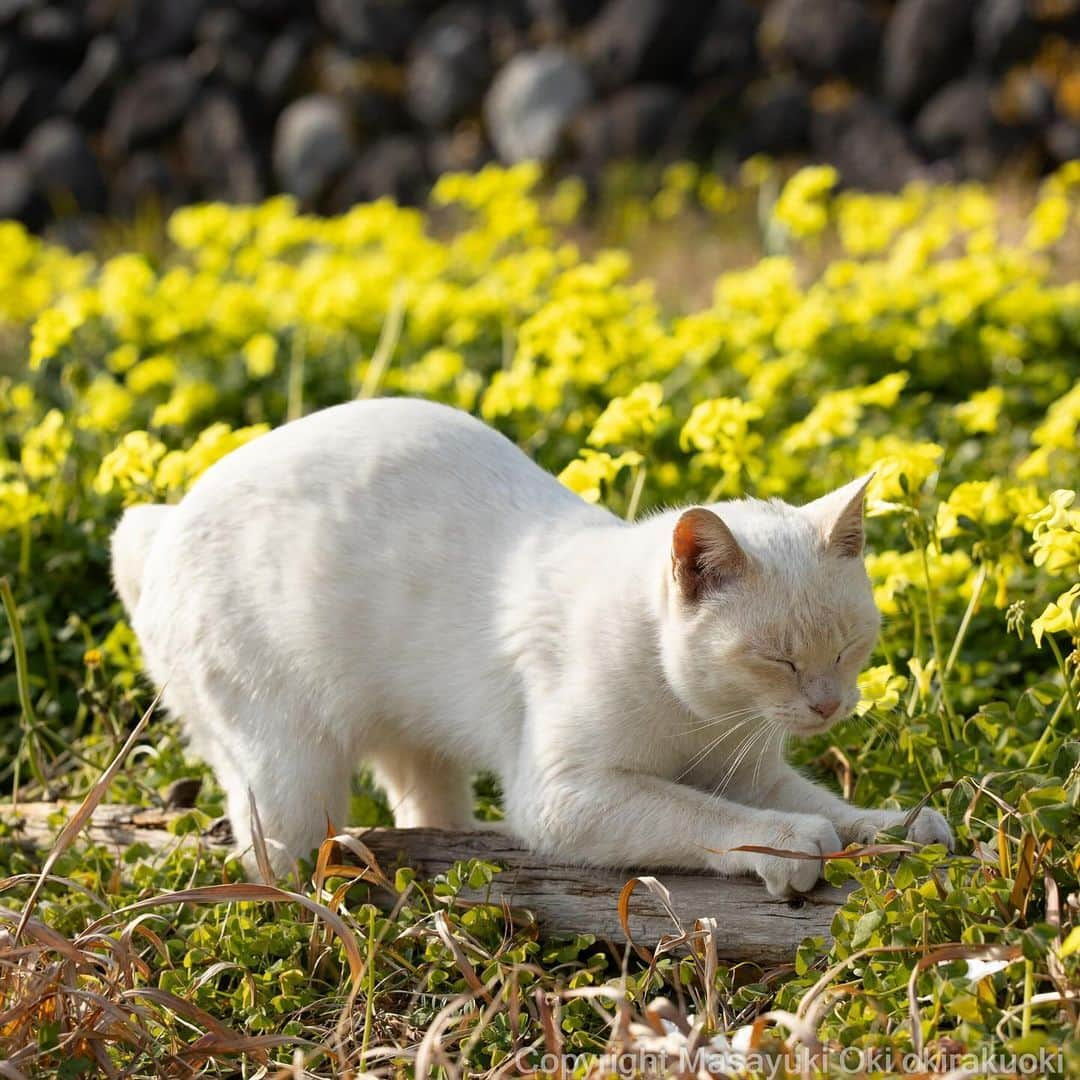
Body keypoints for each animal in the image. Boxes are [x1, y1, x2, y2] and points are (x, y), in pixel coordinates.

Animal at [111, 399, 954, 894]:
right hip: (292, 772)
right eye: (777, 658)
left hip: (417, 743)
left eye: (848, 646)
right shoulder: (563, 795)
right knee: (268, 858)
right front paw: (789, 847)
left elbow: (829, 806)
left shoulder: (749, 770)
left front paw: (895, 824)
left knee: (423, 808)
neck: (700, 717)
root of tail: (162, 521)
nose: (828, 705)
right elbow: (707, 816)